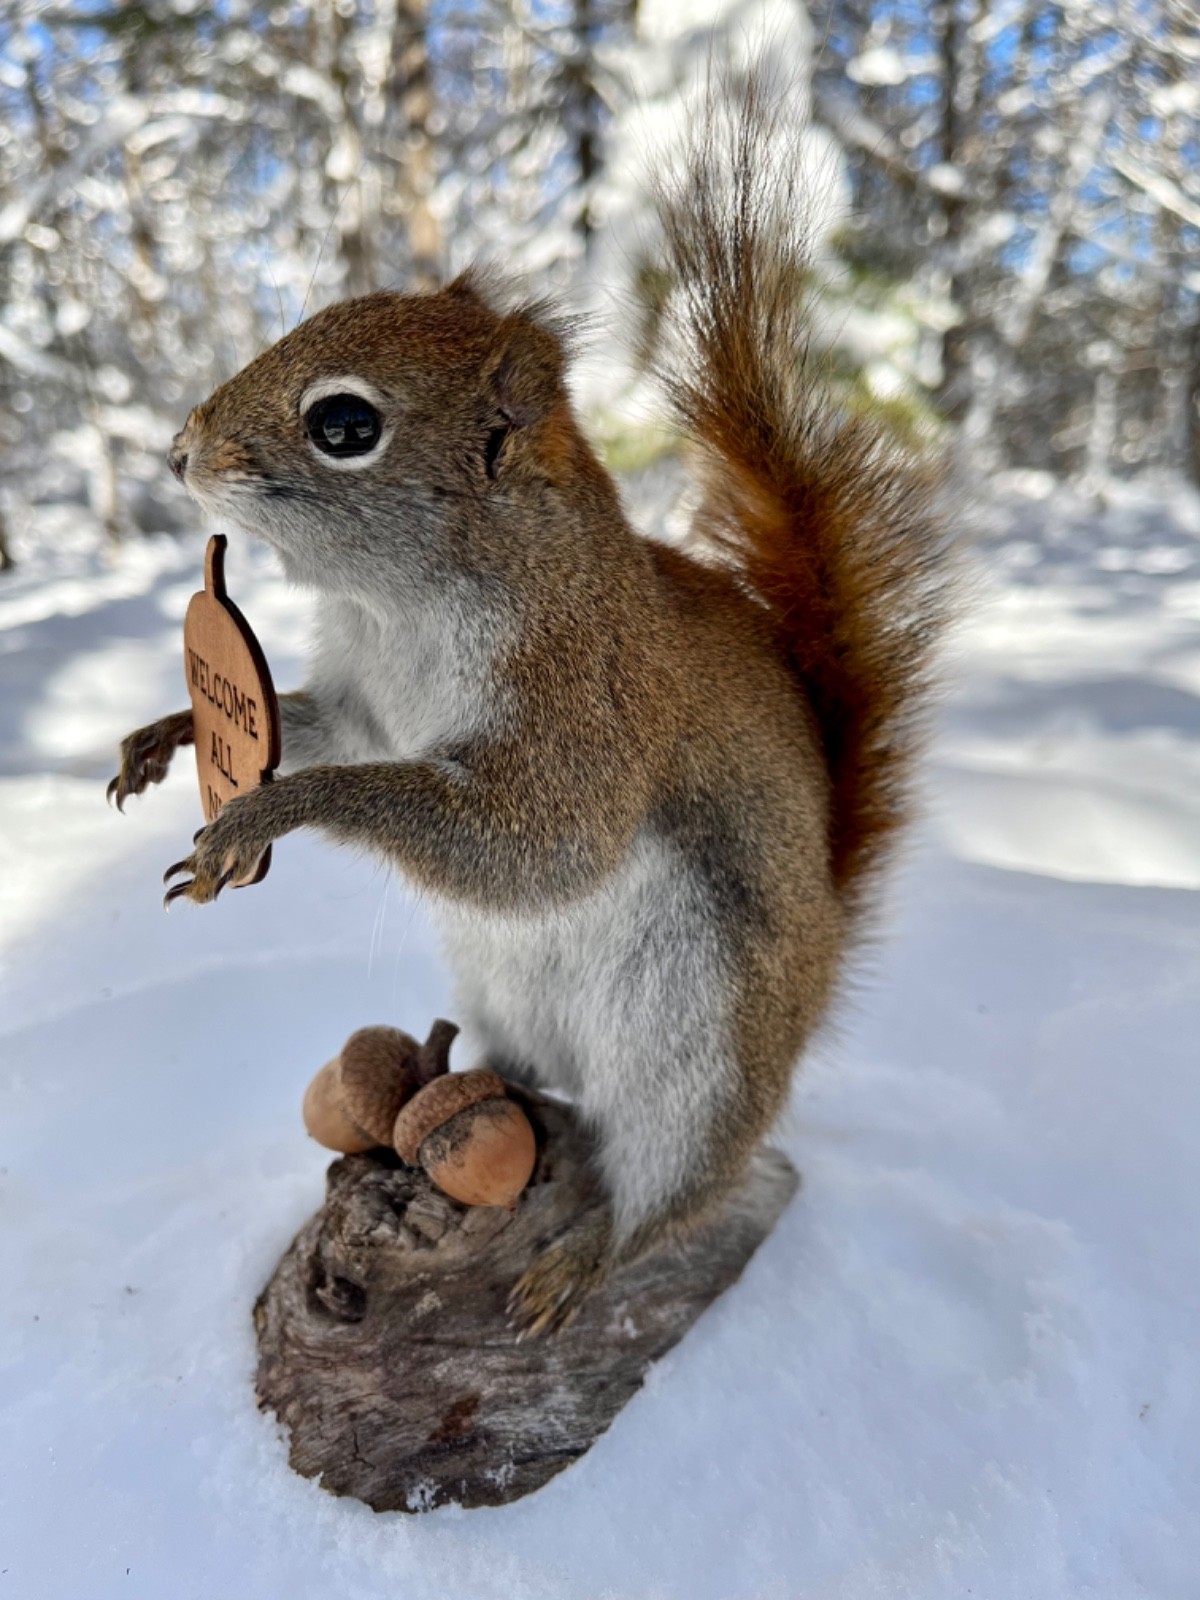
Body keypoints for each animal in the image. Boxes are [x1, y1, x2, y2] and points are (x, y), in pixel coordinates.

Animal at [109, 81, 951, 1334]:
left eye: (345, 425)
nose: (177, 451)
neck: (400, 604)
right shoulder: (368, 699)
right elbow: (327, 729)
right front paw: (167, 736)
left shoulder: (588, 703)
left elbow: (538, 840)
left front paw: (266, 814)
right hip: (510, 996)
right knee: (519, 1072)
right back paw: (439, 1077)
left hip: (697, 1060)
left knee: (673, 1189)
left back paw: (581, 1259)